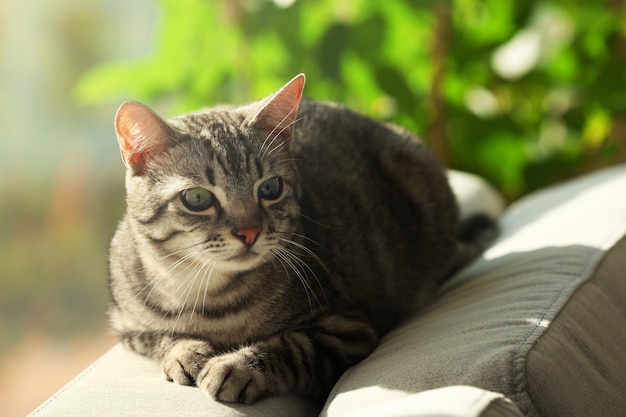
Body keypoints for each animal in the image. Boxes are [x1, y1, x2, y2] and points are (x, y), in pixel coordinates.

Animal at [108, 74, 492, 404]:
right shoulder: (126, 325)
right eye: (198, 198)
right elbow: (159, 337)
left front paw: (237, 366)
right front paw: (186, 352)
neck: (204, 295)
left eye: (270, 188)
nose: (249, 231)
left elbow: (290, 347)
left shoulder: (347, 328)